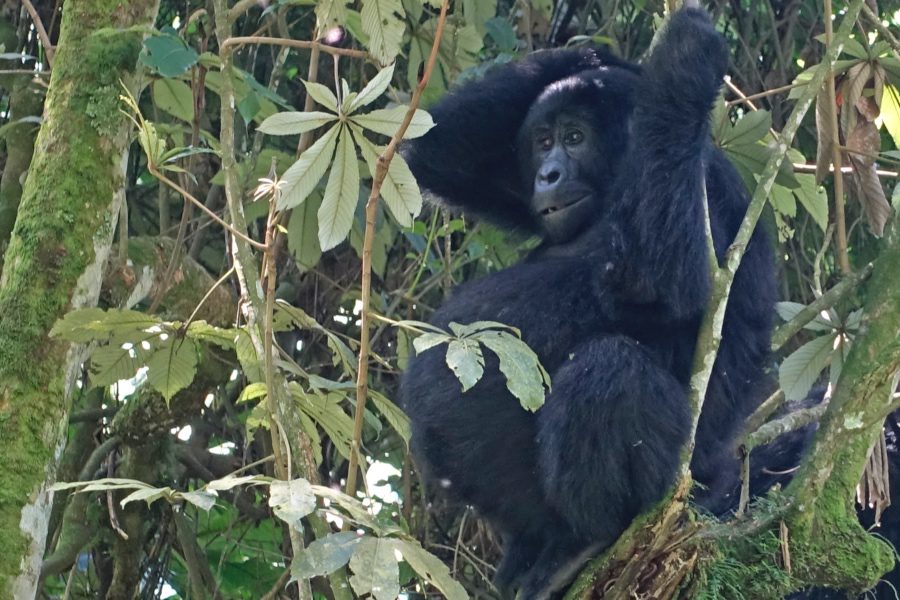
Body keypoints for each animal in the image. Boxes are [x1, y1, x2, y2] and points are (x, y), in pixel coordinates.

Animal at [400, 7, 772, 596]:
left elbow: (658, 279)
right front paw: (600, 53)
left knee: (610, 370)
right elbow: (435, 149)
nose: (547, 174)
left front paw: (686, 64)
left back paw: (590, 541)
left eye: (574, 138)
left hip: (679, 488)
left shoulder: (707, 184)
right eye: (542, 141)